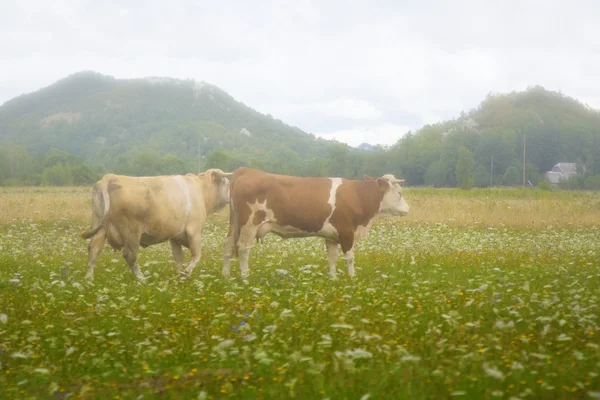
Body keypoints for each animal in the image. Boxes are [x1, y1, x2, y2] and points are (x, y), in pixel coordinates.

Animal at [83, 169, 233, 282]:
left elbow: (178, 258)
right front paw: (185, 275)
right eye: (227, 184)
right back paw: (142, 280)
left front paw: (179, 276)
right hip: (131, 232)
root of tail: (110, 177)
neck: (202, 190)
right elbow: (196, 255)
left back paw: (89, 279)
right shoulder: (194, 232)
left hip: (100, 227)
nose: (231, 198)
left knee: (93, 248)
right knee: (130, 256)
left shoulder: (175, 237)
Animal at [223, 167, 410, 280]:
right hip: (249, 225)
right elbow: (349, 257)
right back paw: (245, 276)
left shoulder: (332, 236)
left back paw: (226, 276)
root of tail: (247, 170)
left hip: (235, 224)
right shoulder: (347, 232)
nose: (408, 209)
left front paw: (333, 278)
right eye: (400, 193)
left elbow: (332, 257)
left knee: (229, 246)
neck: (358, 196)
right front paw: (352, 277)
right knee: (243, 248)